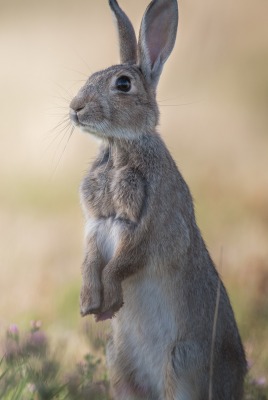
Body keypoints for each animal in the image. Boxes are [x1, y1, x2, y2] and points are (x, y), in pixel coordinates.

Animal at [69, 0, 247, 400]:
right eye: (91, 76)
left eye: (123, 84)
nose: (75, 107)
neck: (120, 147)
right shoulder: (96, 224)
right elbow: (90, 259)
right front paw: (89, 304)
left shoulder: (148, 226)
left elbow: (122, 262)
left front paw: (110, 300)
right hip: (119, 363)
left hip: (182, 362)